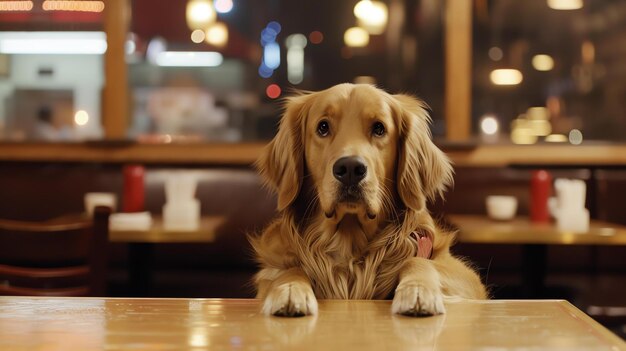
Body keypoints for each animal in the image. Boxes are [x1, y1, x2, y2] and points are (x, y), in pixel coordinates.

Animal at [251, 84, 486, 318]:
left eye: (379, 128)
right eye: (323, 127)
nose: (350, 169)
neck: (349, 246)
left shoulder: (464, 276)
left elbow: (416, 260)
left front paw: (418, 291)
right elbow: (292, 268)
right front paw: (288, 289)